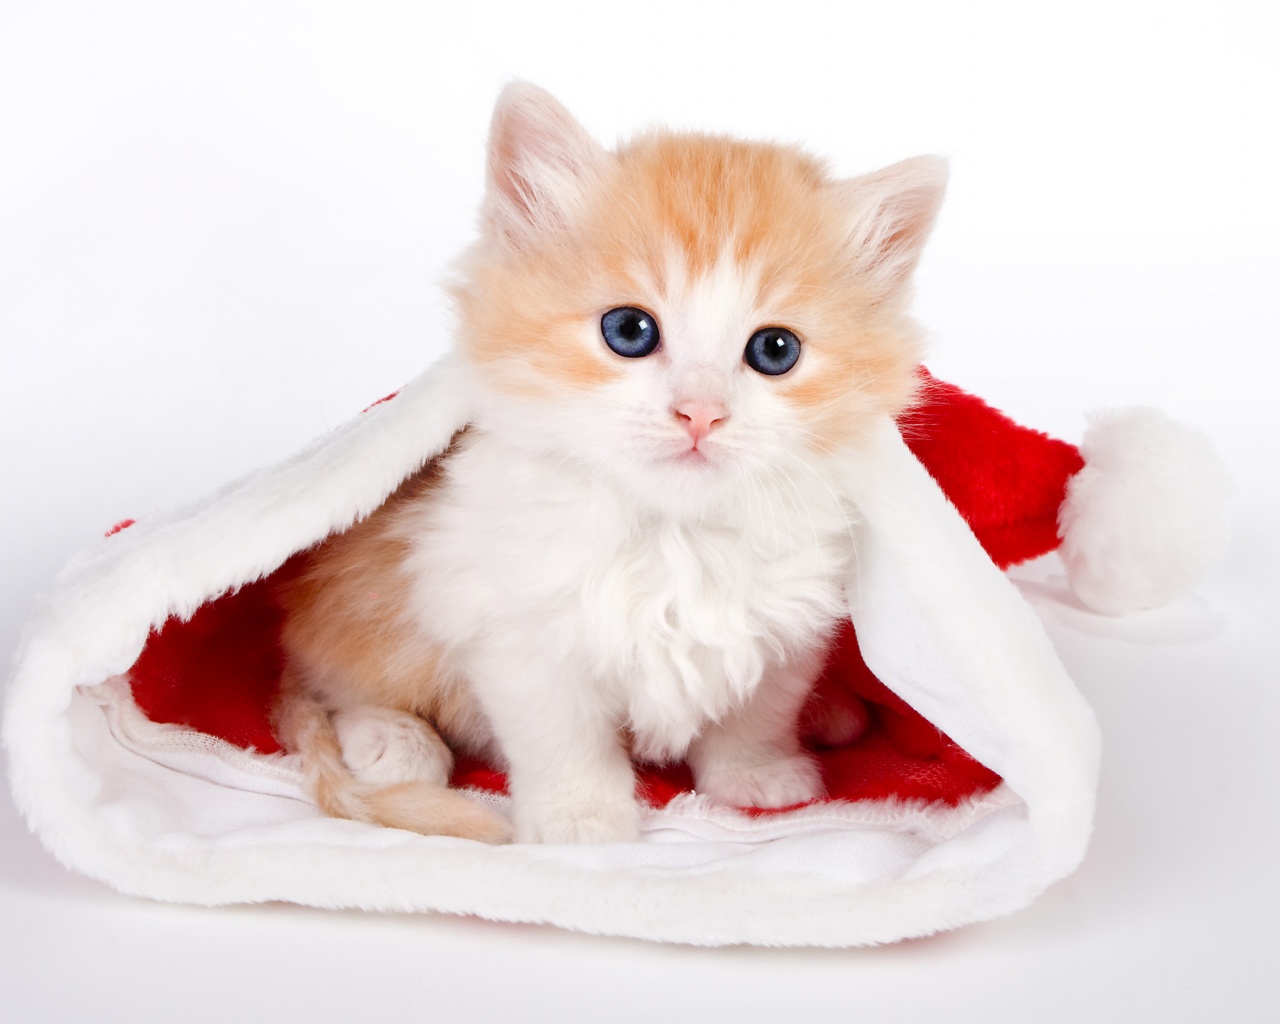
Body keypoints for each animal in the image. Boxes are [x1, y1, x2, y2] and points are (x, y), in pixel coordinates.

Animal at [275, 83, 947, 844]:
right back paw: (392, 740)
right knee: (334, 686)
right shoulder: (511, 622)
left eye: (776, 350)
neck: (675, 537)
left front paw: (756, 774)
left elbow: (755, 709)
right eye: (629, 330)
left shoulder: (785, 626)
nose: (700, 413)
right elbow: (562, 738)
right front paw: (581, 818)